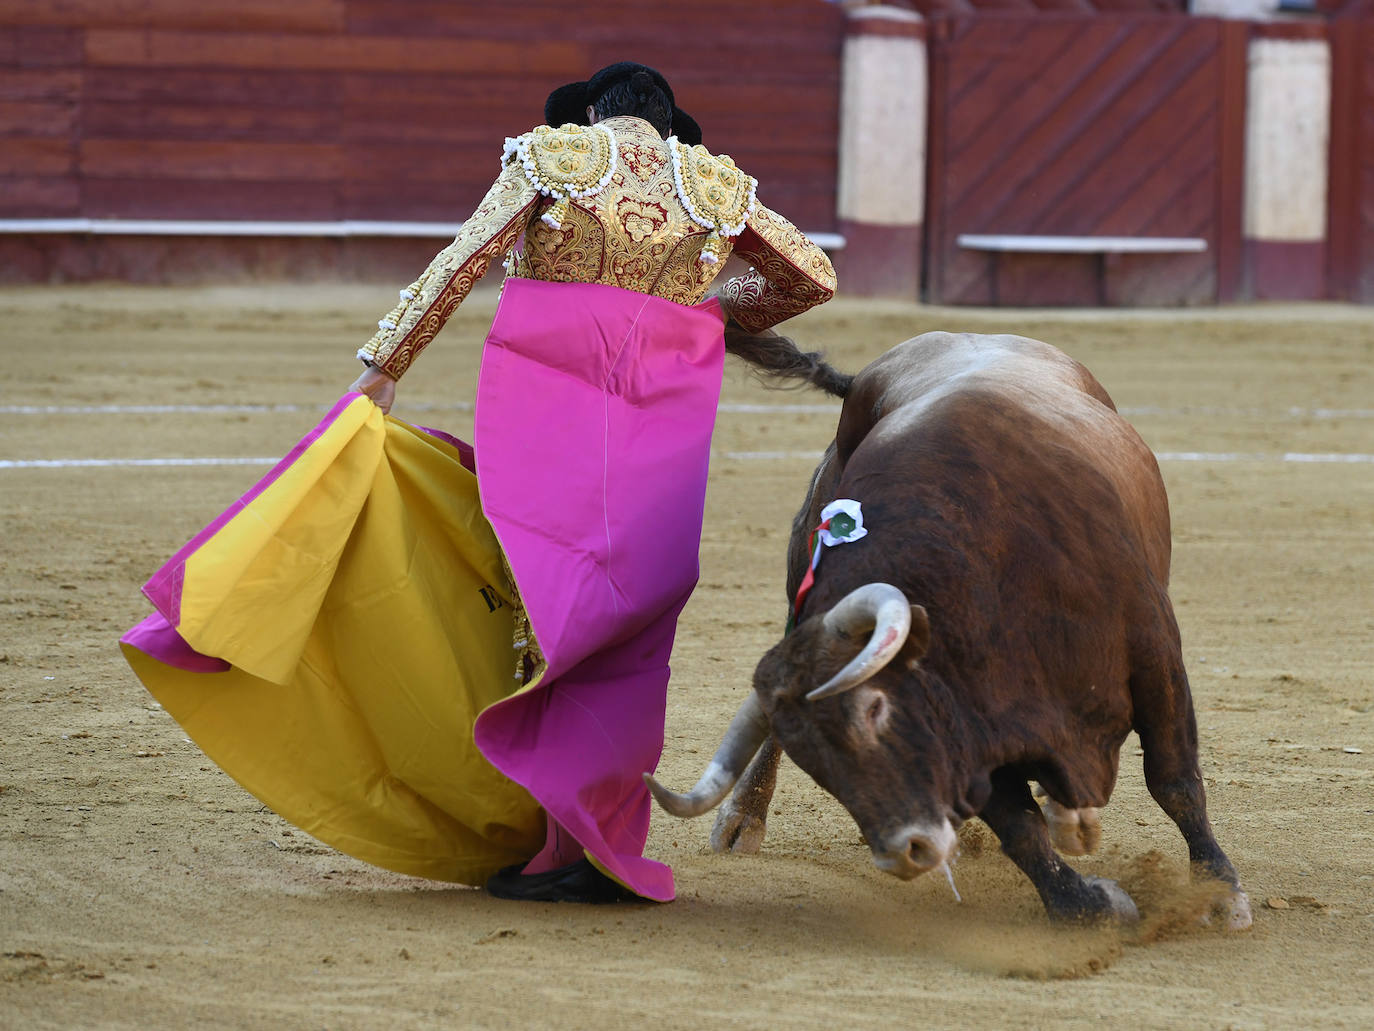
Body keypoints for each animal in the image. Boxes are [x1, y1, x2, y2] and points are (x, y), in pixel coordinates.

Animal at [648, 332, 1253, 929]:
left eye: (876, 711)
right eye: (816, 764)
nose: (905, 851)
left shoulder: (1155, 655)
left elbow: (1174, 781)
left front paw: (1219, 893)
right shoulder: (969, 721)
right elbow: (1020, 829)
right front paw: (1085, 904)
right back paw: (743, 818)